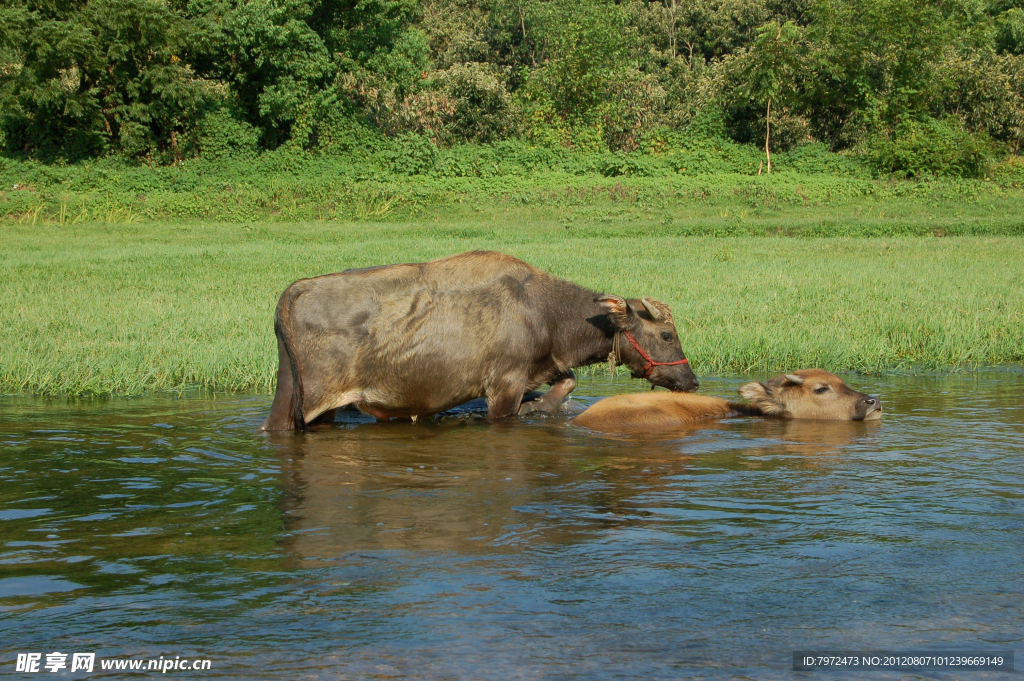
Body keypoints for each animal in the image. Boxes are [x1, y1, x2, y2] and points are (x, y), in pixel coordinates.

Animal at [260, 249, 700, 430]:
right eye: (666, 333)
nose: (692, 380)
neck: (546, 313)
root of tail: (293, 291)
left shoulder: (541, 368)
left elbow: (568, 381)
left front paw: (540, 407)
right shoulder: (504, 383)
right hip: (310, 400)